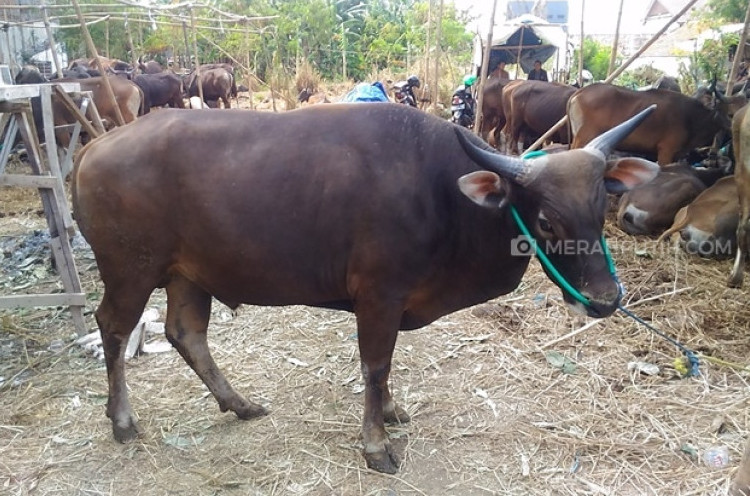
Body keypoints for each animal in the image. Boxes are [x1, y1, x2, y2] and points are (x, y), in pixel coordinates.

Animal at [72, 103, 656, 472]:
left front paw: (392, 411)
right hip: (130, 271)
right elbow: (375, 366)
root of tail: (97, 145)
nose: (605, 300)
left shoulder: (392, 304)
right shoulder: (378, 296)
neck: (442, 195)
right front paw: (376, 445)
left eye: (600, 209)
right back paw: (122, 420)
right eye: (548, 221)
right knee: (114, 329)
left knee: (185, 333)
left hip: (187, 275)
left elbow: (387, 368)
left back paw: (239, 404)